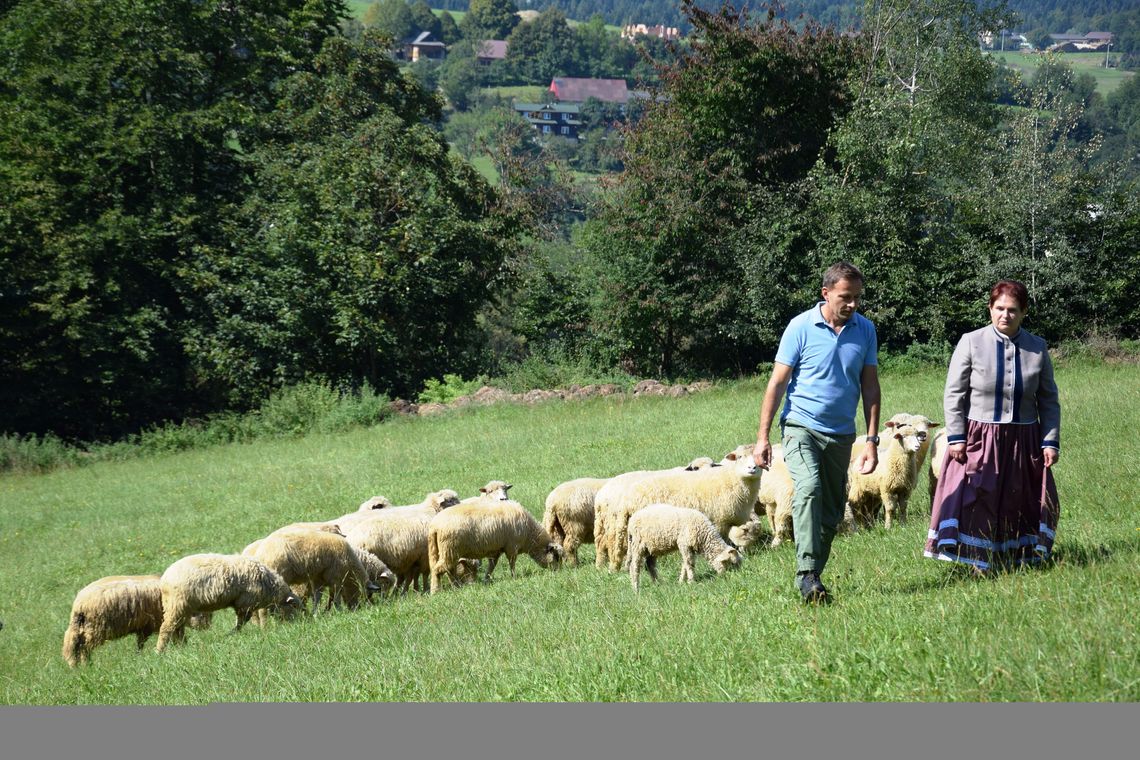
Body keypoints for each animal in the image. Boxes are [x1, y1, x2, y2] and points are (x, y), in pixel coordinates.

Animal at [62, 576, 214, 665]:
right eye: (204, 614)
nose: (207, 626)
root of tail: (79, 604)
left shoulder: (145, 626)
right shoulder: (155, 623)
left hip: (82, 626)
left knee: (73, 642)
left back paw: (78, 665)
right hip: (96, 628)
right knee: (83, 646)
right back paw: (86, 663)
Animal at [155, 553, 298, 656]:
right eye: (295, 607)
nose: (298, 626)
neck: (270, 586)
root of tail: (164, 580)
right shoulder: (245, 603)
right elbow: (242, 621)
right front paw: (232, 633)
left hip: (182, 608)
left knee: (177, 628)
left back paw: (182, 646)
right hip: (176, 605)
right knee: (167, 628)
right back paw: (159, 651)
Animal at [428, 499, 563, 592]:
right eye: (556, 557)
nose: (559, 572)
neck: (530, 535)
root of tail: (434, 526)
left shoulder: (496, 550)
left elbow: (492, 566)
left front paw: (486, 579)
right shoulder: (512, 547)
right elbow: (512, 564)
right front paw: (514, 577)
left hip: (445, 552)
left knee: (448, 570)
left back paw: (456, 587)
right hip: (449, 550)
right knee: (439, 569)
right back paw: (435, 591)